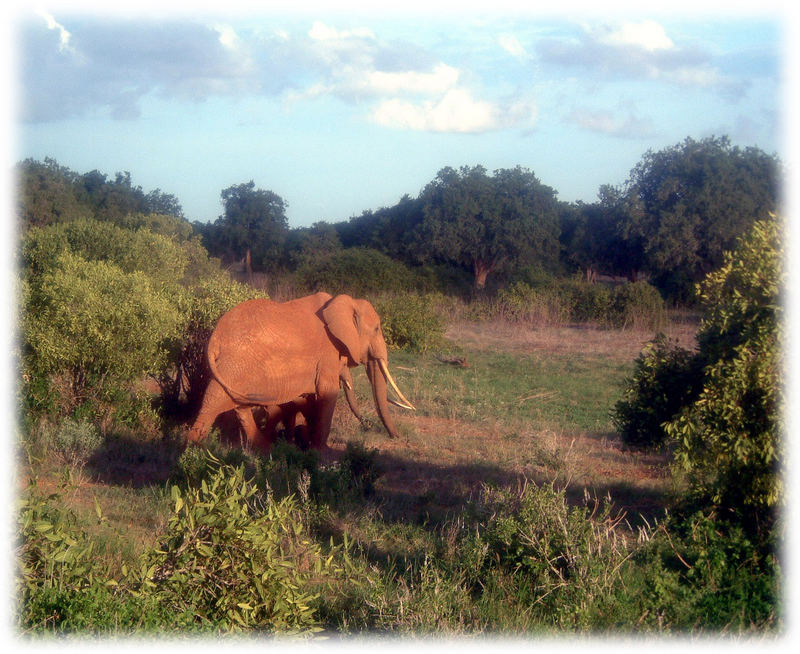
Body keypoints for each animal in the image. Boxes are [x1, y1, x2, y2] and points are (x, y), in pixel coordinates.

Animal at [187, 294, 412, 452]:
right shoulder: (327, 353)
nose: (397, 437)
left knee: (239, 405)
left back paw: (263, 448)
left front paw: (304, 440)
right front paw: (322, 451)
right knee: (214, 399)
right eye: (376, 329)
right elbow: (327, 393)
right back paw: (191, 450)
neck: (345, 303)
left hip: (236, 368)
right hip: (236, 362)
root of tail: (216, 335)